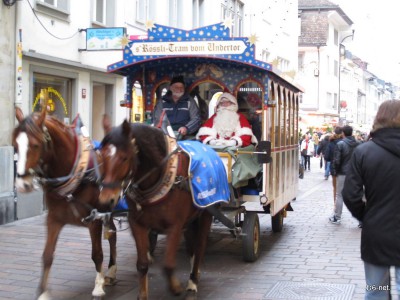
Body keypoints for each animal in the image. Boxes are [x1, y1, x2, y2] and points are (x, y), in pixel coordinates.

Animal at [12, 106, 117, 298]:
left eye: (36, 145)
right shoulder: (54, 219)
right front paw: (43, 292)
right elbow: (47, 255)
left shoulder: (95, 219)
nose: (22, 185)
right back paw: (112, 273)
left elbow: (97, 254)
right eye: (15, 144)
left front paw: (98, 286)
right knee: (113, 234)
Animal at [99, 119, 214, 300]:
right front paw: (142, 294)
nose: (106, 200)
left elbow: (168, 265)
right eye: (102, 156)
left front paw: (175, 288)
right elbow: (142, 264)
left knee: (200, 247)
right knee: (191, 245)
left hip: (206, 214)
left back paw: (192, 283)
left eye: (124, 158)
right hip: (191, 219)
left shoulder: (175, 226)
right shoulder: (137, 223)